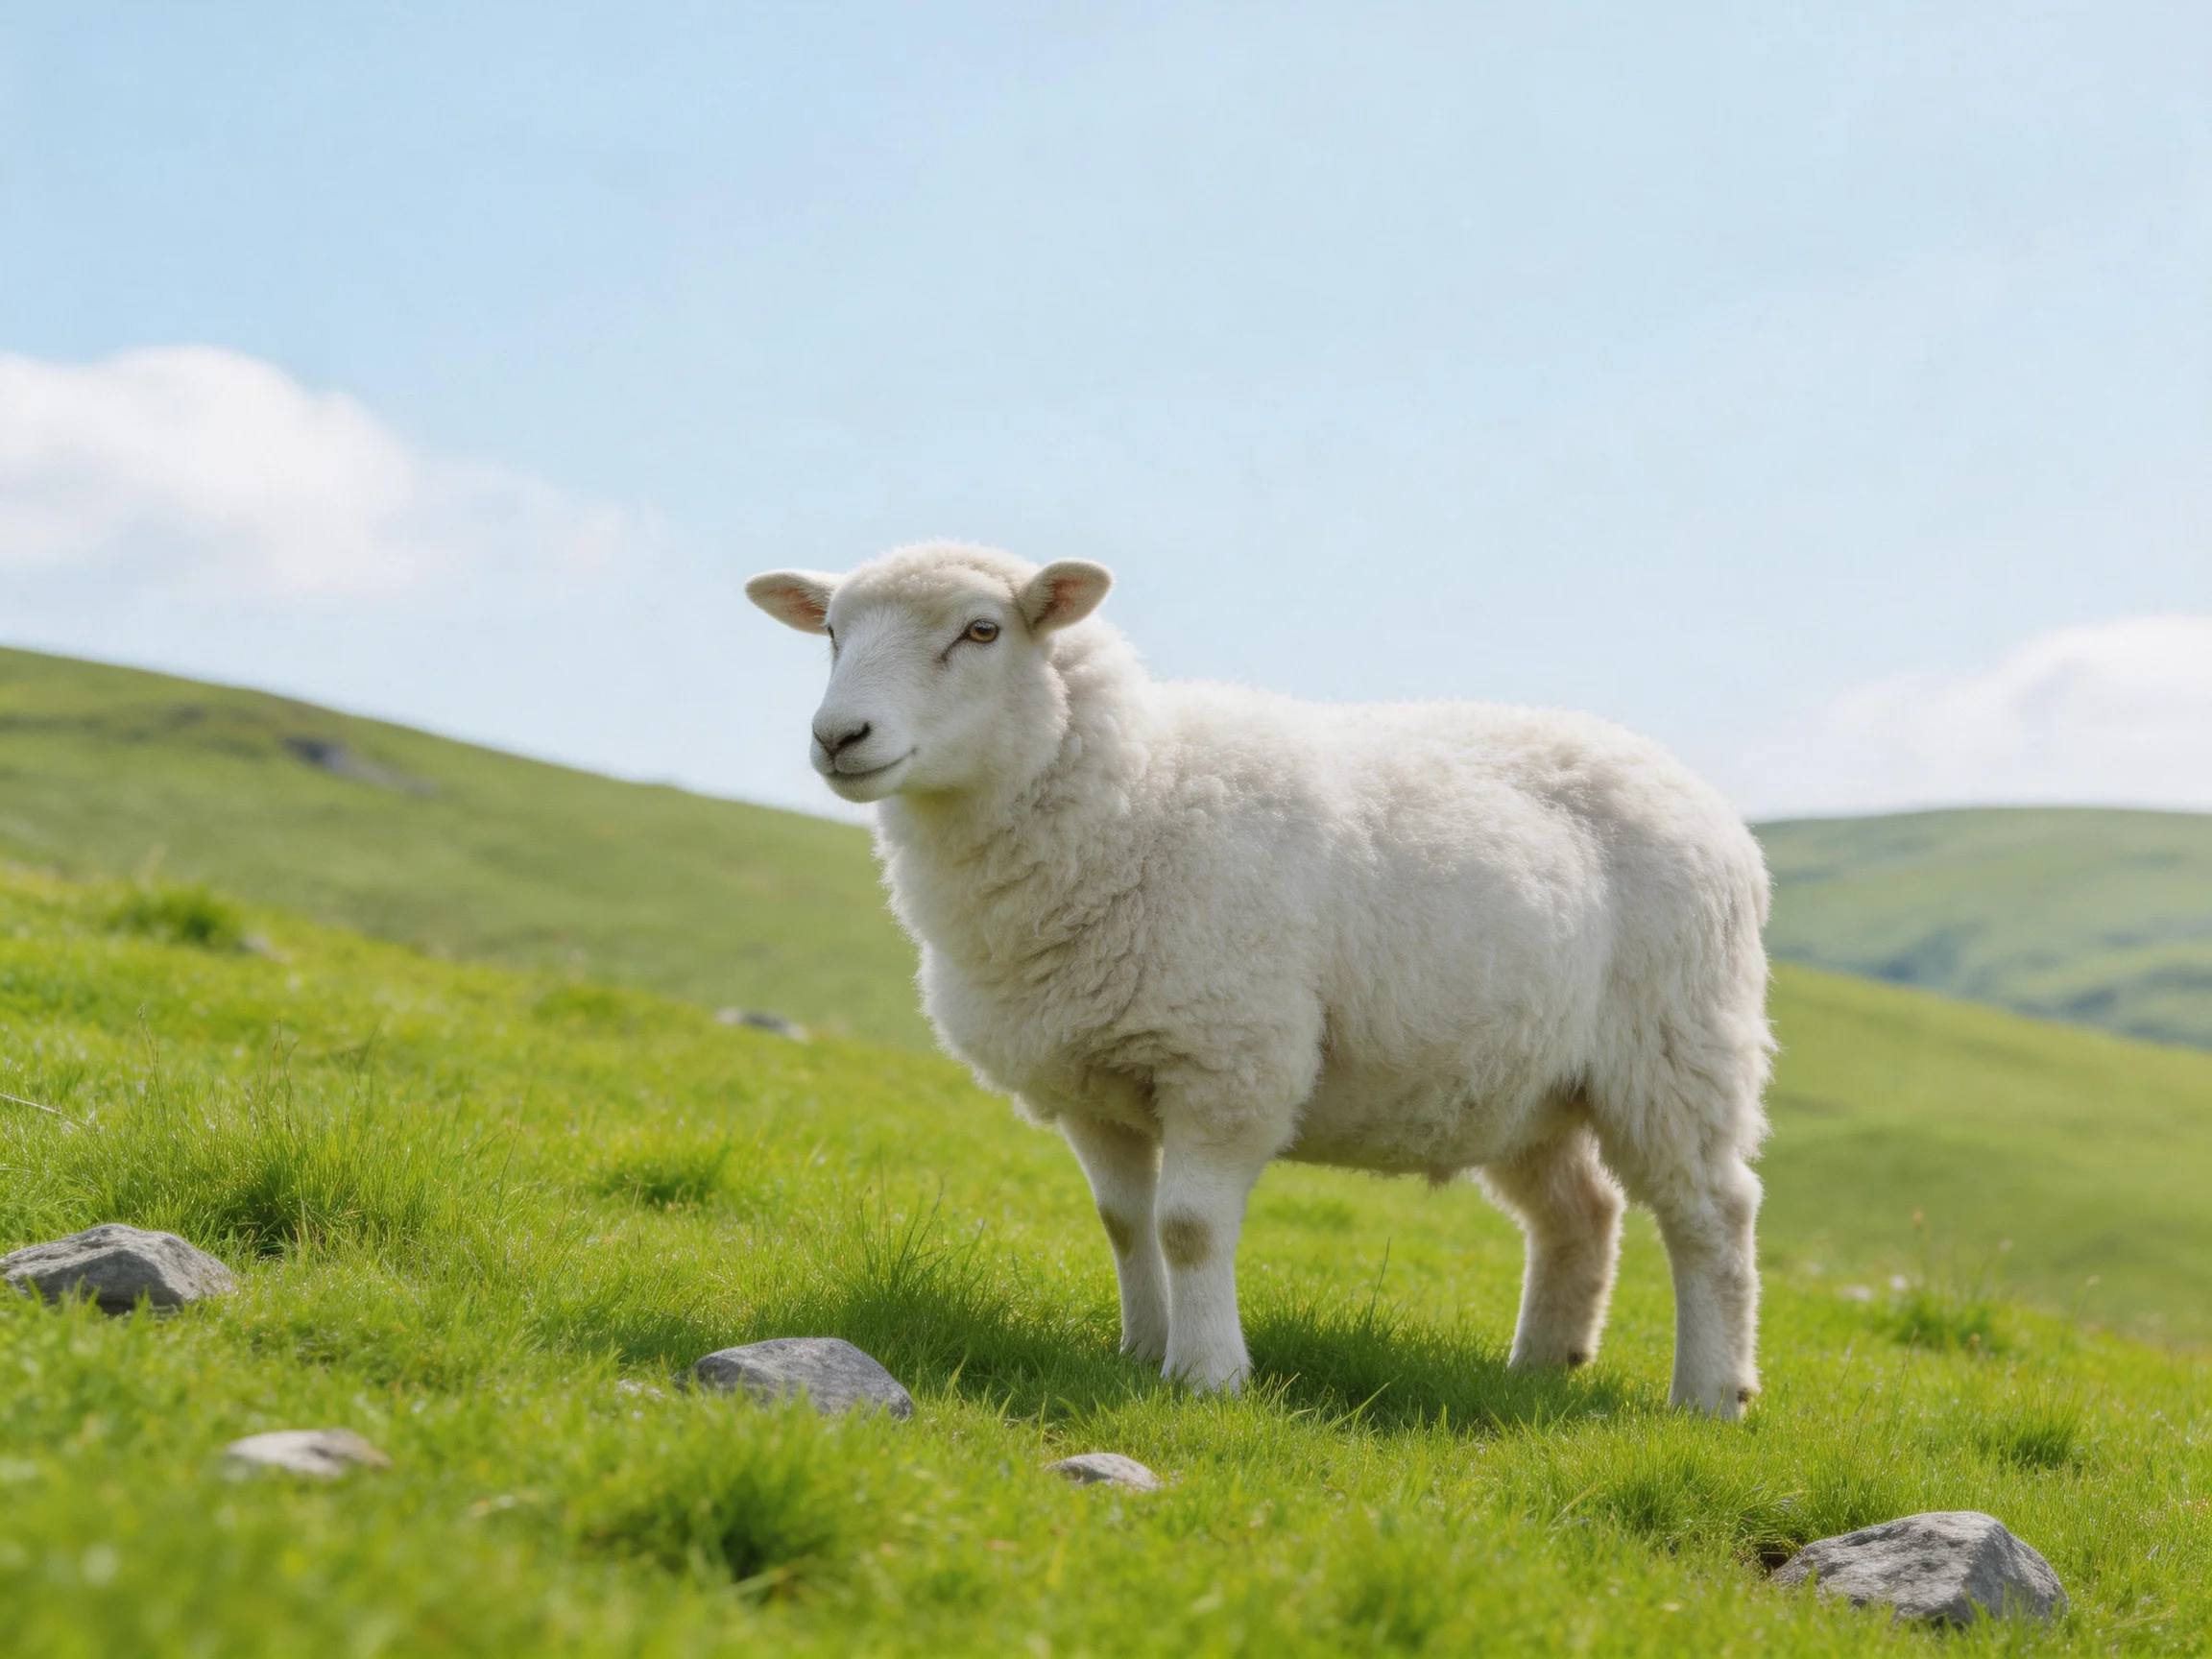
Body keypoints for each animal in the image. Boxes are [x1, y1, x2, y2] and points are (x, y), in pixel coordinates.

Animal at [746, 541, 1773, 1417]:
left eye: (982, 630)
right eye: (831, 632)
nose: (839, 736)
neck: (1133, 797)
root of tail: (1705, 802)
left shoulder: (1226, 1059)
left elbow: (1189, 1226)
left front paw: (1207, 1374)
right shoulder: (1089, 1076)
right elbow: (1125, 1221)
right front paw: (1139, 1351)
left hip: (1677, 1046)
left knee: (1711, 1215)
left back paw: (1709, 1396)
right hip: (1528, 1083)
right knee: (1581, 1214)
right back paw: (1538, 1370)